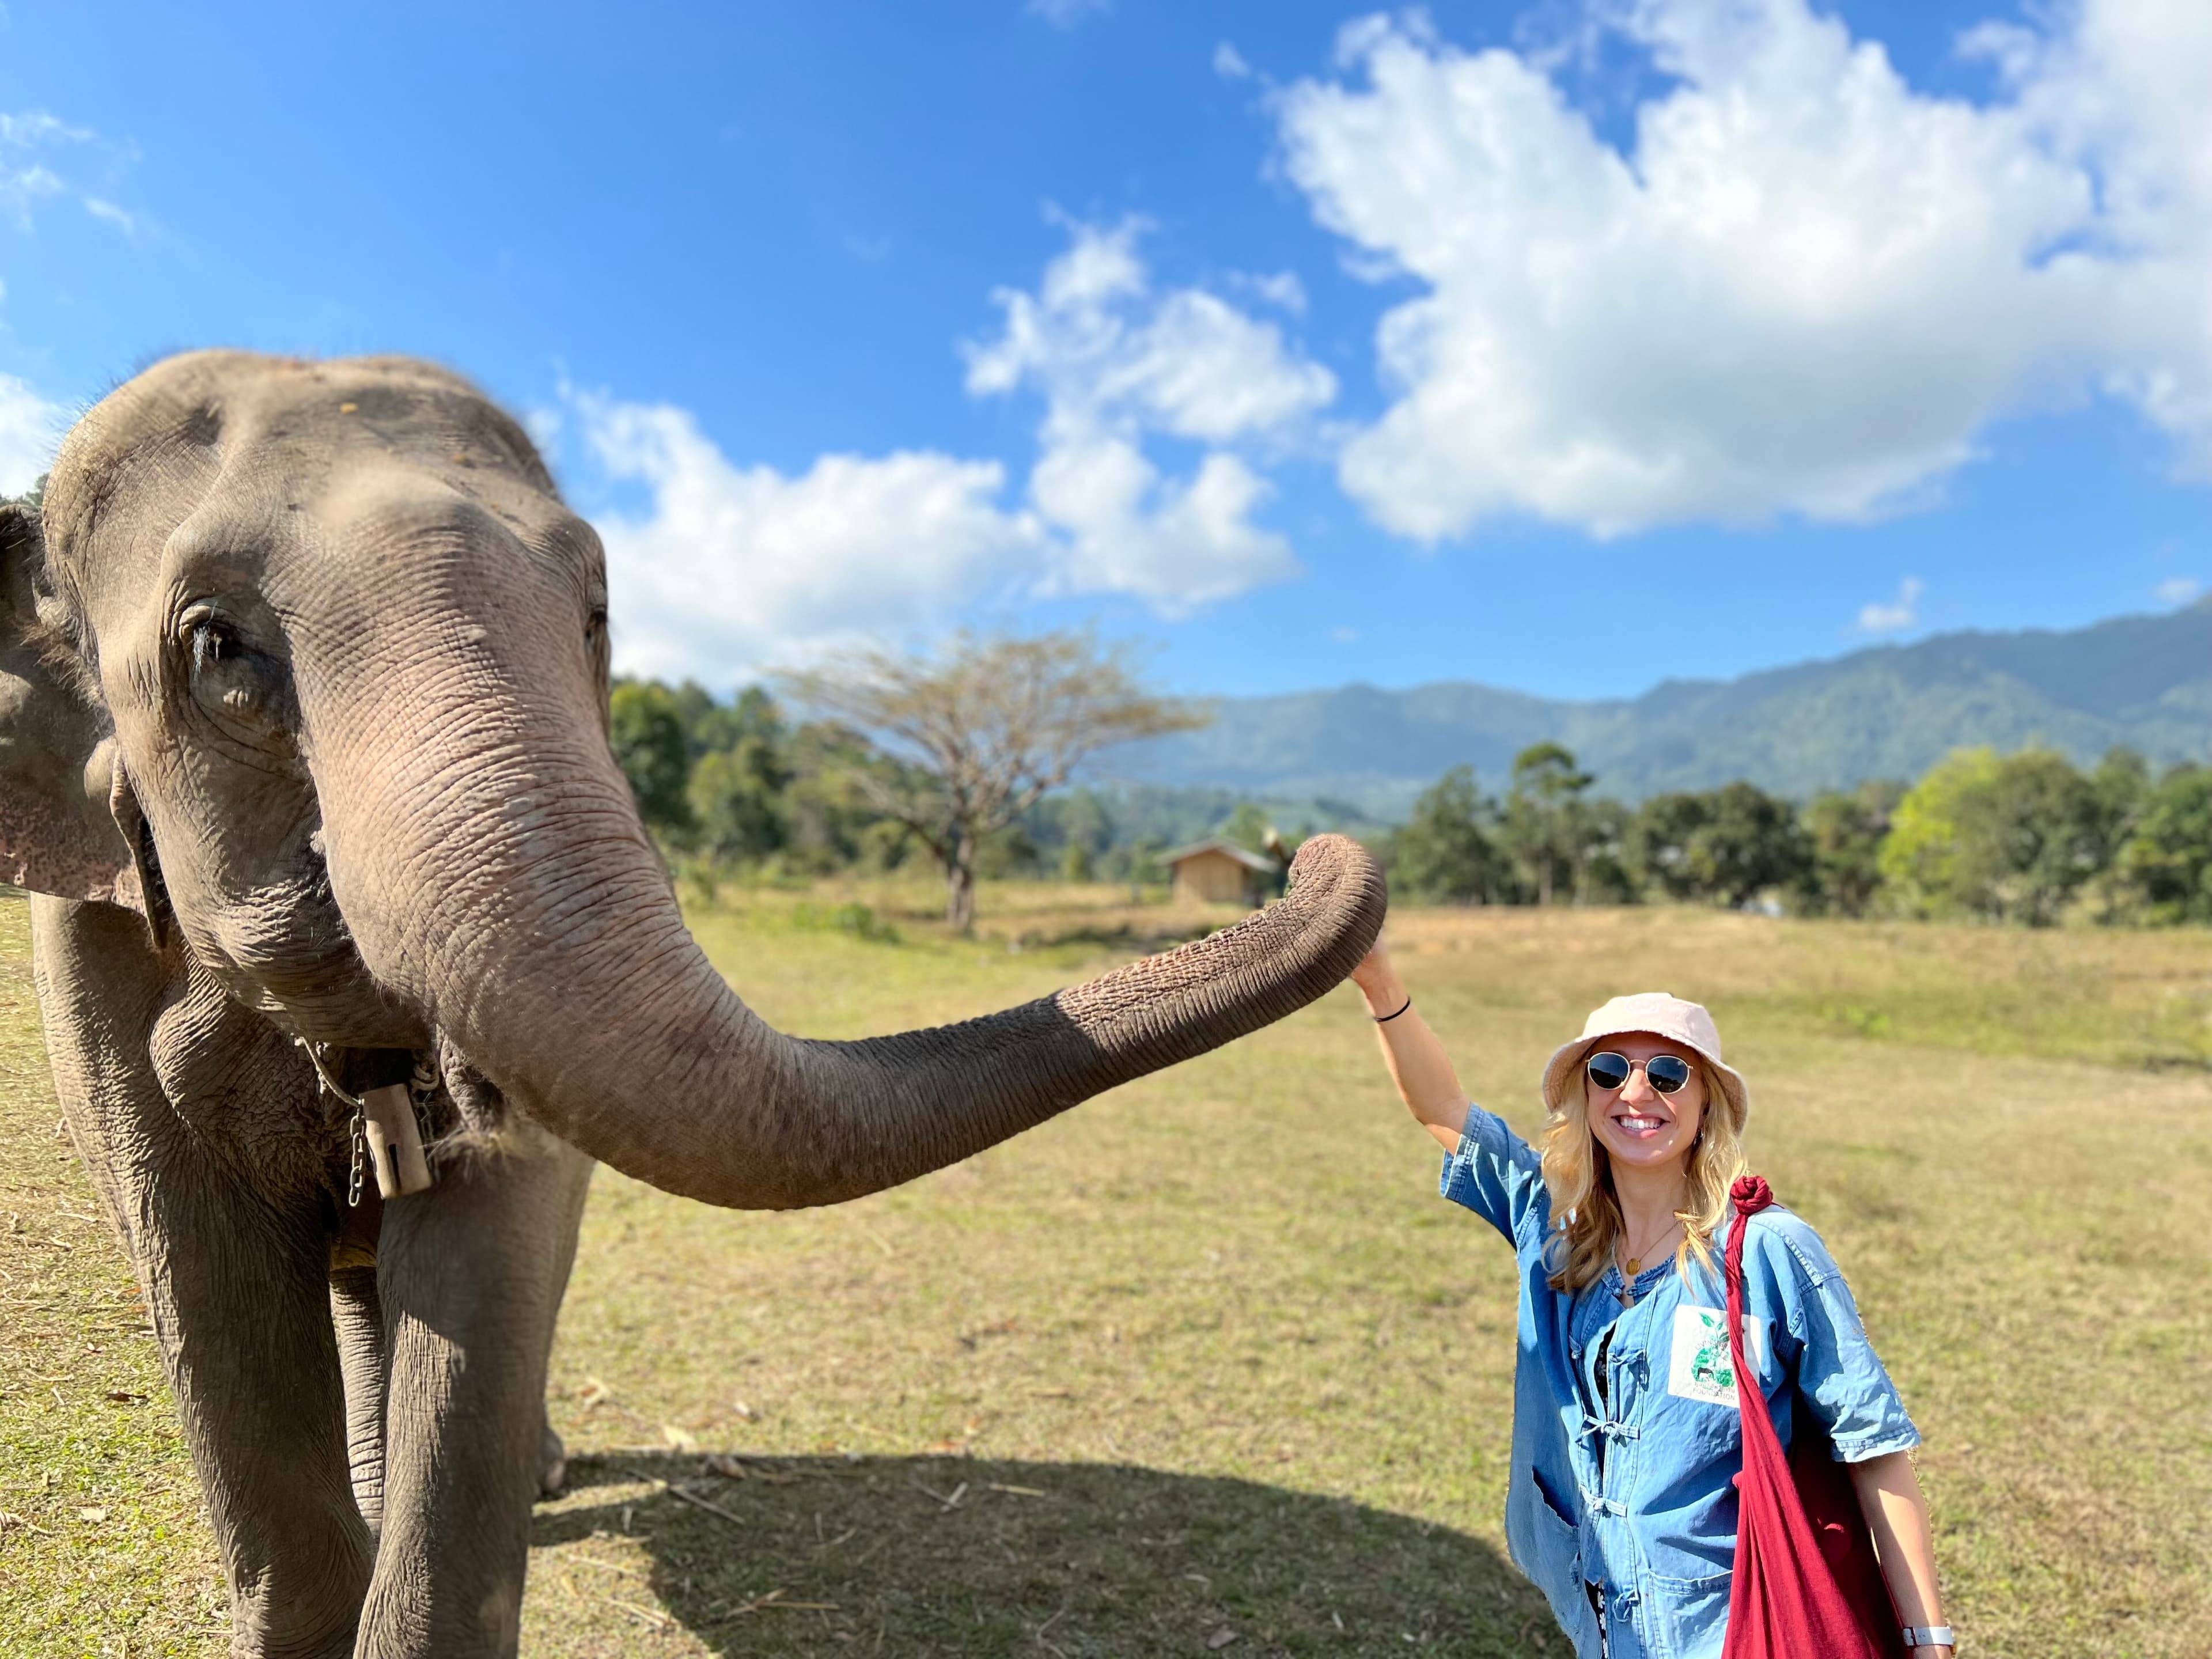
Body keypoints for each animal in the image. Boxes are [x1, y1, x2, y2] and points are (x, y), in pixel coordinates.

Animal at [0, 350, 1386, 1657]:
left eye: (596, 611)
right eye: (217, 647)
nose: (1308, 852)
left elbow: (494, 1255)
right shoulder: (84, 967)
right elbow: (205, 1296)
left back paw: (534, 1472)